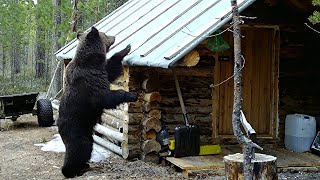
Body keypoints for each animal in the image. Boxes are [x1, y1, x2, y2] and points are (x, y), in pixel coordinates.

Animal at [57, 27, 138, 179]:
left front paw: (126, 48)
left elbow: (111, 69)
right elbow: (105, 97)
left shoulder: (102, 71)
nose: (114, 36)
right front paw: (132, 95)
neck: (91, 61)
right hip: (76, 128)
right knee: (80, 148)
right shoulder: (89, 82)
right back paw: (73, 170)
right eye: (105, 34)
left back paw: (85, 166)